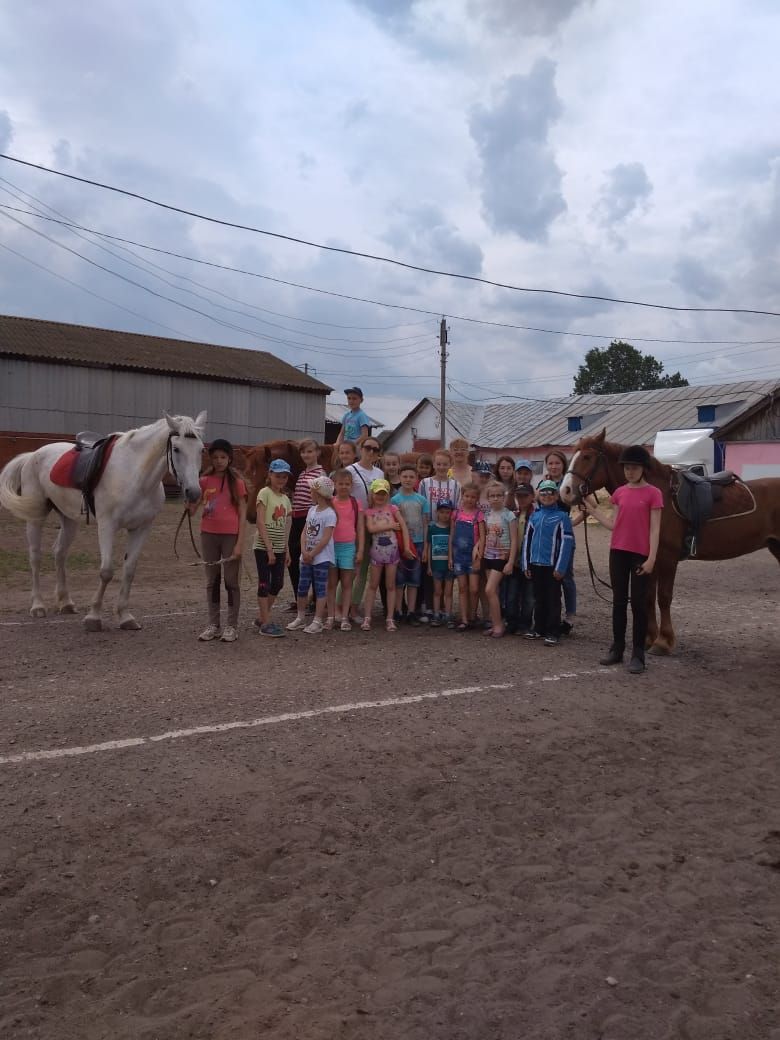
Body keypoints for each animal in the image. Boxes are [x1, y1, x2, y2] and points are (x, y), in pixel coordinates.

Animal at [0, 409, 208, 628]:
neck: (134, 475)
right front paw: (93, 617)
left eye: (201, 450)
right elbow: (106, 571)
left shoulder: (142, 528)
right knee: (35, 556)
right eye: (176, 449)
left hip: (69, 519)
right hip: (36, 516)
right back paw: (38, 606)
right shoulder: (107, 525)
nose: (193, 492)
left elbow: (129, 570)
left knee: (59, 553)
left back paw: (66, 602)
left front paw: (125, 616)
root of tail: (33, 455)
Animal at [561, 428, 780, 648]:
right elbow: (648, 597)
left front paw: (664, 641)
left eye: (587, 457)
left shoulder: (667, 557)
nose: (565, 491)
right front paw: (649, 638)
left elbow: (664, 597)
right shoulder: (650, 558)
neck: (659, 496)